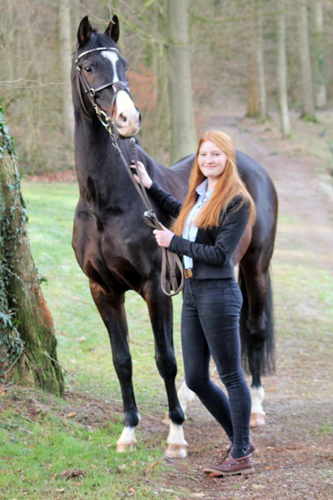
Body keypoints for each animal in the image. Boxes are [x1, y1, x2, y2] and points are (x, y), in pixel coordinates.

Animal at [72, 16, 278, 458]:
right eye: (89, 67)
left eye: (124, 64)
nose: (128, 119)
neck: (106, 202)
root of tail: (248, 164)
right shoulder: (102, 290)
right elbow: (122, 360)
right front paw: (128, 431)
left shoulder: (154, 286)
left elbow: (164, 357)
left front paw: (176, 435)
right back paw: (190, 394)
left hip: (256, 266)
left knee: (253, 330)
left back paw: (254, 408)